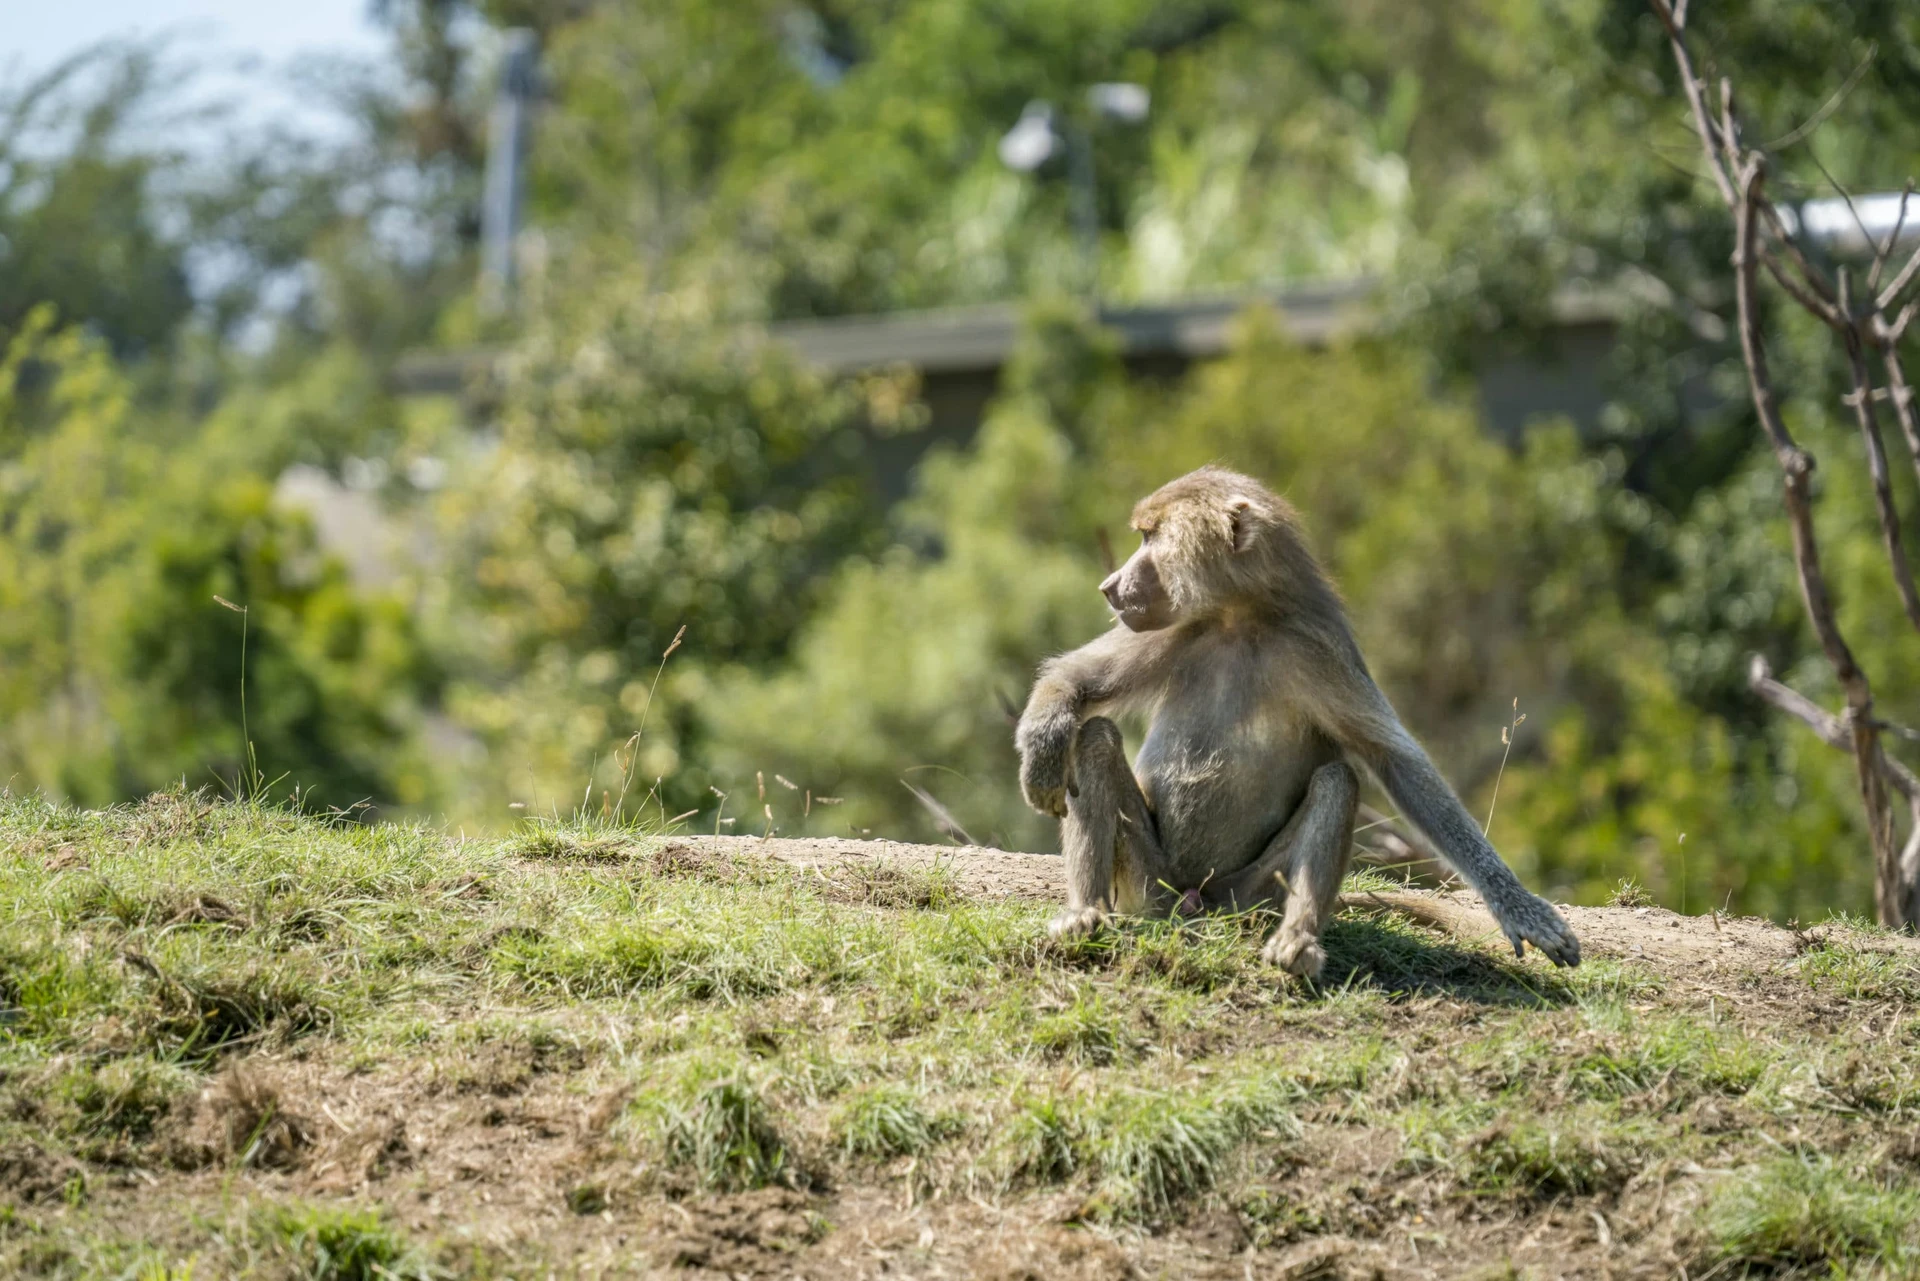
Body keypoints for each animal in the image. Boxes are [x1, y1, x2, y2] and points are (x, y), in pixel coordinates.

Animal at [1014, 466, 1579, 979]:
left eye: (1151, 537)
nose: (1110, 587)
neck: (1240, 618)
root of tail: (1197, 905)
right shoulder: (1169, 629)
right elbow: (1075, 678)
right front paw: (1043, 749)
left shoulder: (1318, 650)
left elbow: (1395, 760)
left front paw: (1519, 907)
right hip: (1149, 888)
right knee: (1095, 739)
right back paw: (1085, 913)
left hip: (1250, 896)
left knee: (1337, 781)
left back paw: (1297, 941)